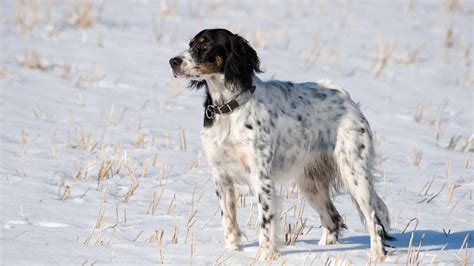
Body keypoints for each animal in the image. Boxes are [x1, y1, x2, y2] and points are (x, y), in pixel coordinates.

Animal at [169, 28, 392, 260]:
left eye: (206, 45)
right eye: (191, 44)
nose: (173, 61)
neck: (229, 109)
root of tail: (346, 98)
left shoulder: (261, 177)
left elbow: (266, 223)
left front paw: (265, 256)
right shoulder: (221, 177)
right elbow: (228, 222)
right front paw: (231, 253)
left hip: (355, 174)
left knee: (374, 219)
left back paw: (377, 256)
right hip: (311, 182)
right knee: (333, 218)